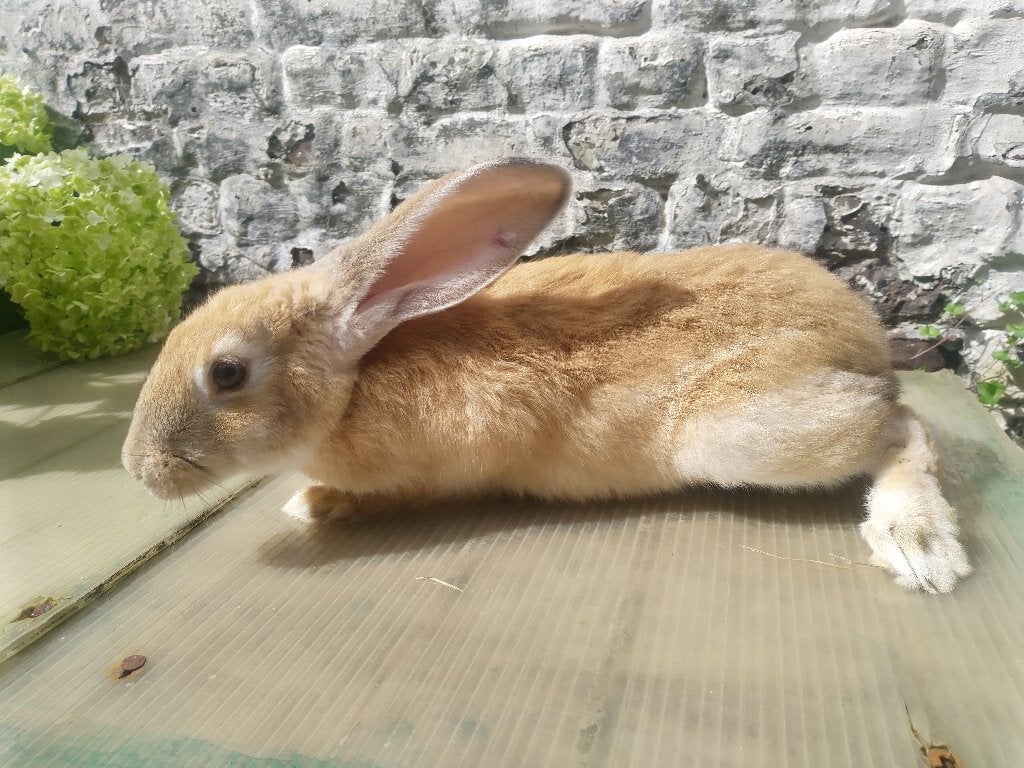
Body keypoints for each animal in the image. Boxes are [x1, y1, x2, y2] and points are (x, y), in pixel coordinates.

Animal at [122, 157, 971, 594]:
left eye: (227, 373)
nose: (137, 468)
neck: (354, 380)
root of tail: (858, 331)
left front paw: (313, 503)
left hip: (748, 432)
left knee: (899, 423)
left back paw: (918, 544)